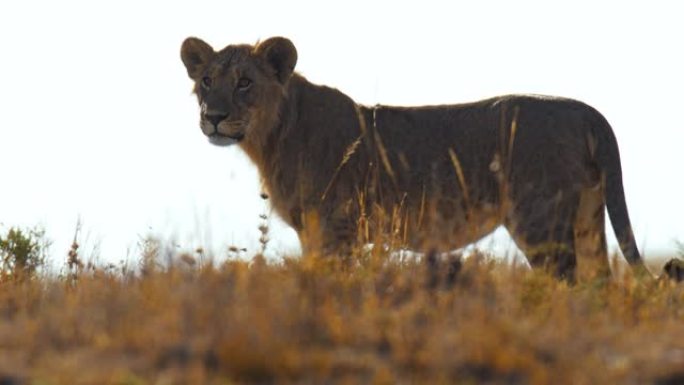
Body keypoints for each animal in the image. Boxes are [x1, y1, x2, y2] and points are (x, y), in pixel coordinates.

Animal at [179, 36, 680, 282]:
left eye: (245, 82)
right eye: (206, 81)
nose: (214, 118)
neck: (272, 135)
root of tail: (587, 111)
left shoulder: (335, 229)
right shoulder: (318, 231)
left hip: (539, 221)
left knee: (569, 282)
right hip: (587, 215)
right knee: (600, 283)